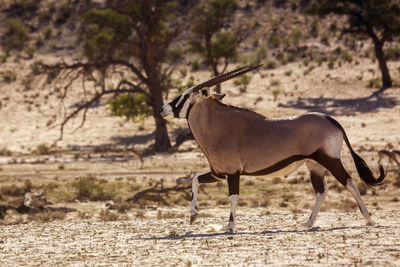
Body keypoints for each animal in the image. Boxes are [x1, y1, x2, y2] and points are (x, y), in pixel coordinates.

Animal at [161, 65, 386, 232]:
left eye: (186, 95)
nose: (164, 108)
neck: (218, 127)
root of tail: (331, 120)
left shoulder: (233, 173)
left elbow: (233, 197)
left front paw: (230, 226)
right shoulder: (218, 173)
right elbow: (195, 180)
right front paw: (193, 215)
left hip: (329, 160)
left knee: (349, 181)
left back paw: (369, 218)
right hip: (314, 165)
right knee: (321, 191)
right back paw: (308, 223)